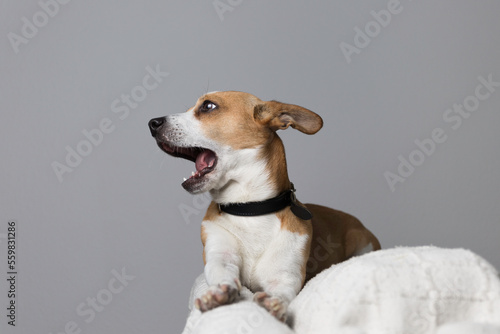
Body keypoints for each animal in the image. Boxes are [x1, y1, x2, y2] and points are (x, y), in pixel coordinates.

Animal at [147, 90, 378, 320]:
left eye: (208, 106)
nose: (152, 123)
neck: (250, 209)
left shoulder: (285, 275)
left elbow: (282, 291)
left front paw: (275, 303)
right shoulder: (220, 256)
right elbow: (222, 272)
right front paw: (218, 292)